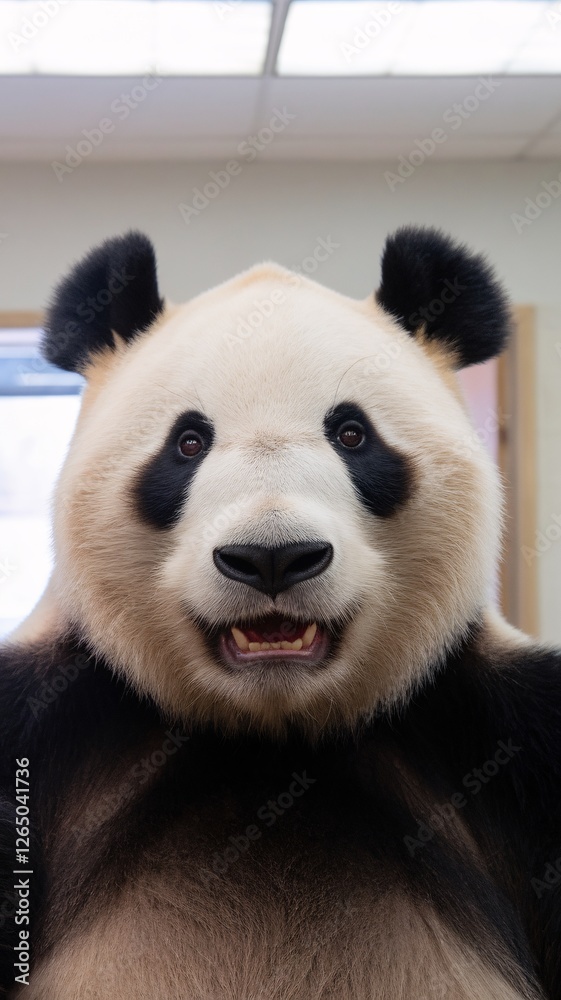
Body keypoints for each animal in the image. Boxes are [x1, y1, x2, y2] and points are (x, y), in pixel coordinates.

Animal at [0, 226, 560, 1000]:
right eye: (188, 443)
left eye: (352, 434)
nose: (272, 557)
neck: (271, 737)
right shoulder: (47, 723)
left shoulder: (501, 733)